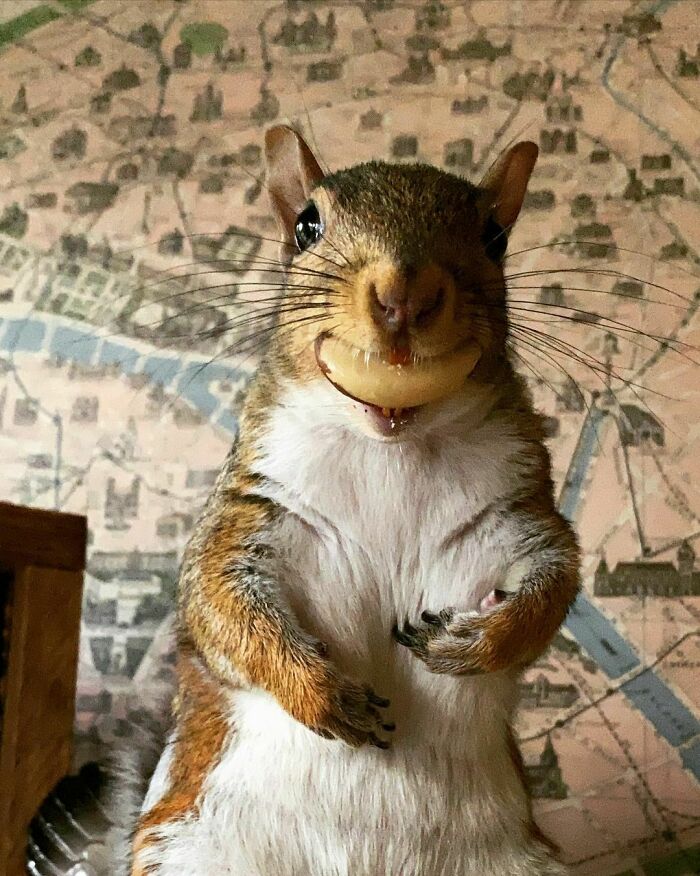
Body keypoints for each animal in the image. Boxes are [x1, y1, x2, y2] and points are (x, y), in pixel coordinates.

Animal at [30, 125, 580, 876]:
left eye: (495, 236)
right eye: (306, 226)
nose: (403, 295)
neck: (390, 446)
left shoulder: (519, 514)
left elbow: (552, 587)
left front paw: (471, 642)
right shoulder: (249, 513)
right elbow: (220, 603)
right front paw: (322, 694)